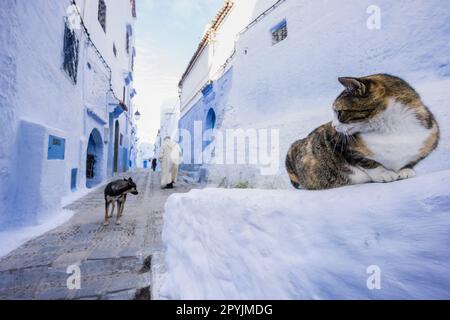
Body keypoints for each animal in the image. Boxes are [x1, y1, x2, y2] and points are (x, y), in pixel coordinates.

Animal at [288, 74, 440, 190]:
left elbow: (412, 159)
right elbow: (364, 161)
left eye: (339, 112)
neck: (392, 129)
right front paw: (384, 173)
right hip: (291, 152)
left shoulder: (431, 136)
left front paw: (405, 170)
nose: (333, 125)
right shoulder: (338, 143)